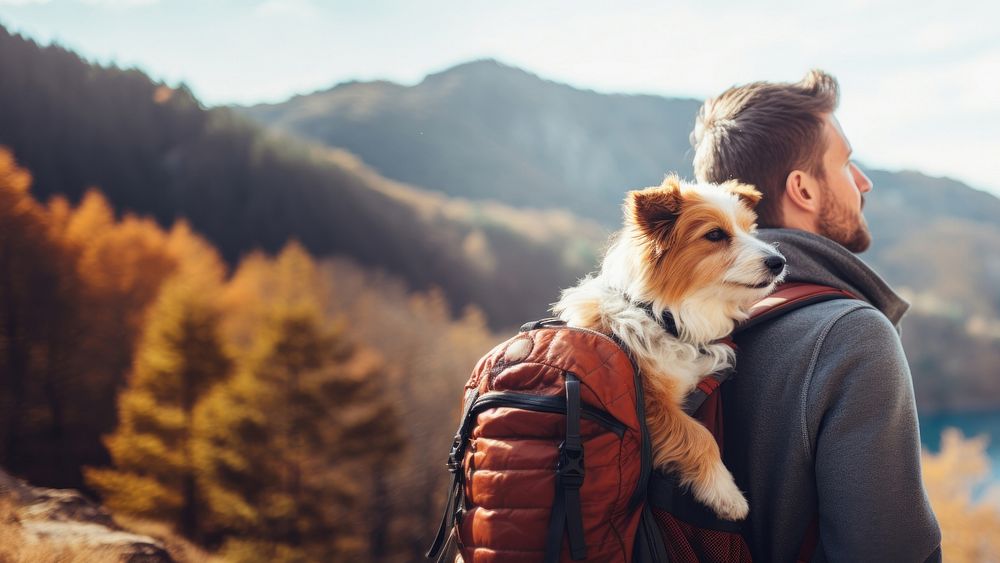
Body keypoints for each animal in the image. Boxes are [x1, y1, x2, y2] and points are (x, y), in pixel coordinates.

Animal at [552, 175, 784, 520]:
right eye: (715, 235)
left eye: (749, 229)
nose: (779, 262)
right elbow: (700, 436)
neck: (663, 317)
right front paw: (726, 493)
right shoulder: (648, 406)